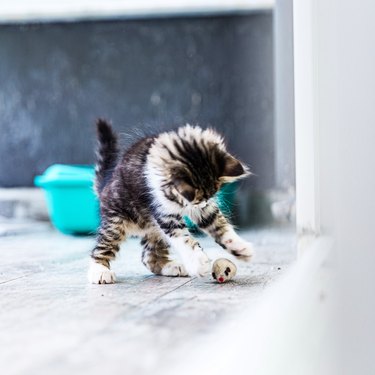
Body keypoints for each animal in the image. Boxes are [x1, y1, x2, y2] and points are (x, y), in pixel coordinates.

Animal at [87, 120, 256, 284]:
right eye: (197, 200)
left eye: (208, 197)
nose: (202, 204)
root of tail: (105, 186)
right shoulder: (165, 212)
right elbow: (183, 238)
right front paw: (198, 263)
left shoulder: (206, 211)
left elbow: (220, 226)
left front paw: (240, 247)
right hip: (116, 222)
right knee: (101, 248)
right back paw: (100, 271)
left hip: (153, 230)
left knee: (148, 256)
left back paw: (172, 267)